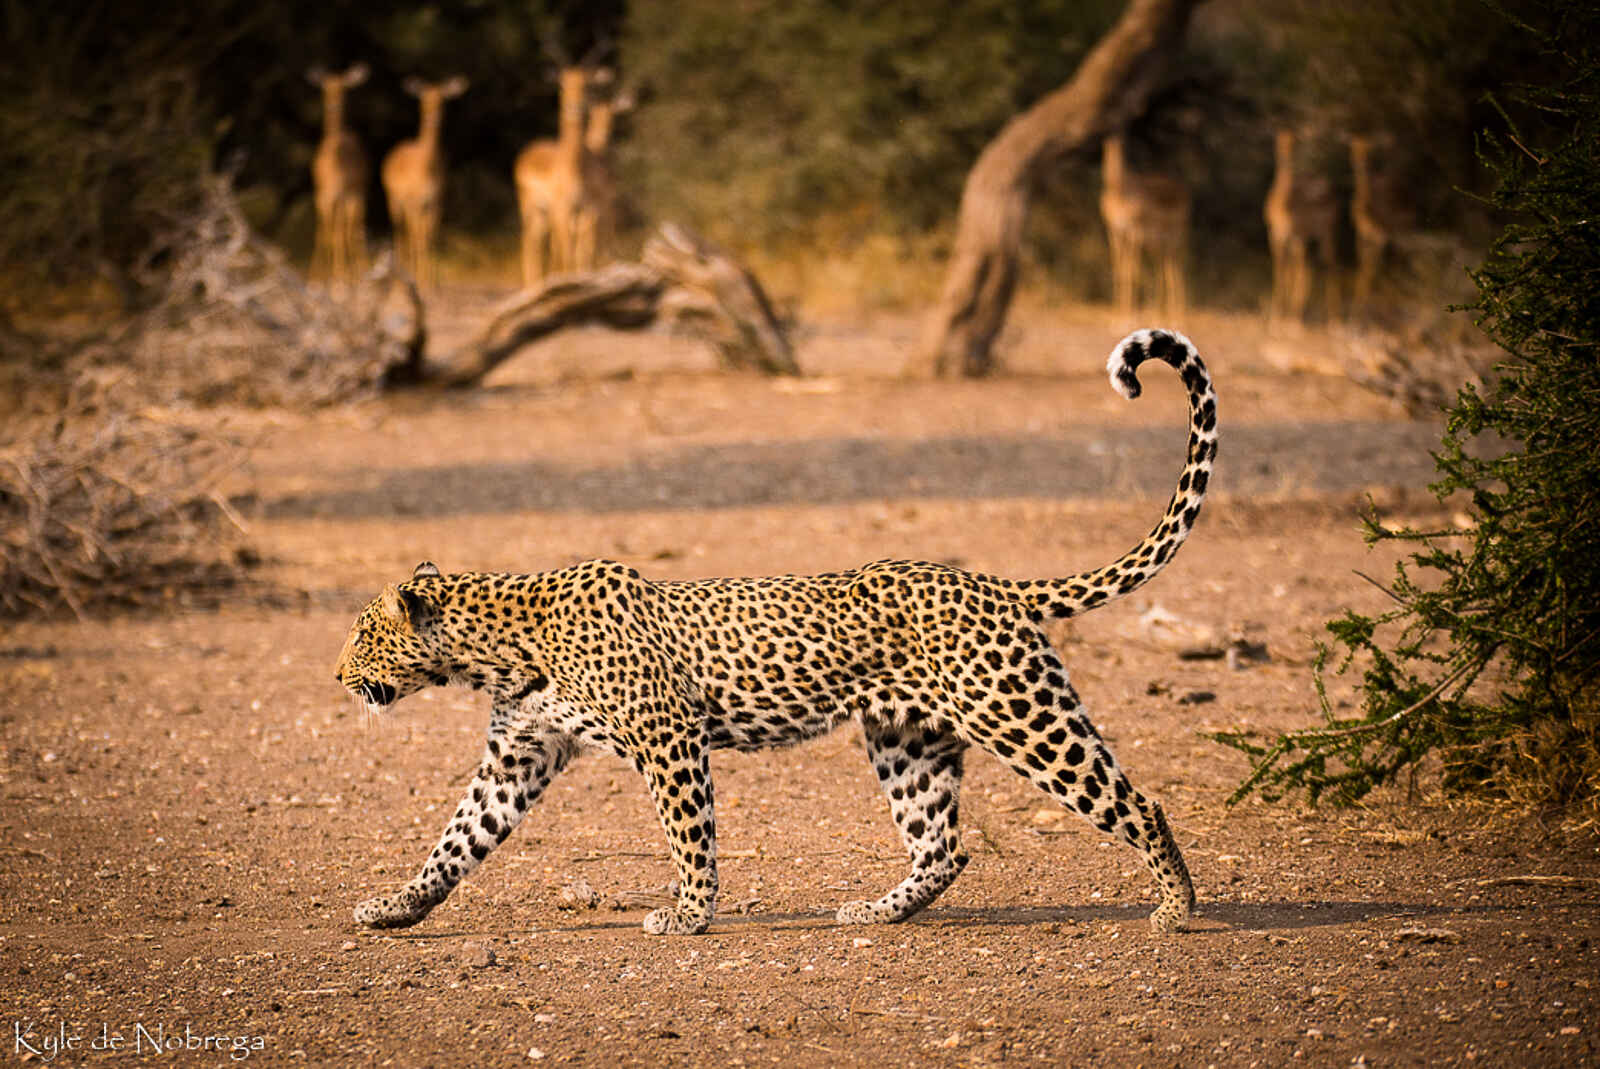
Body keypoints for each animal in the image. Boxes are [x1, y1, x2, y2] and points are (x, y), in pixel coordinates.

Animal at [337, 328, 1217, 937]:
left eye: (358, 637)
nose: (337, 679)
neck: (496, 648)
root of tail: (987, 581)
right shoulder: (518, 753)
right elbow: (455, 839)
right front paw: (395, 905)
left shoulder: (669, 735)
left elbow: (689, 833)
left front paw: (689, 914)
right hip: (908, 739)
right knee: (943, 846)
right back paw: (877, 911)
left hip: (1022, 715)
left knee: (1138, 801)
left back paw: (1177, 908)